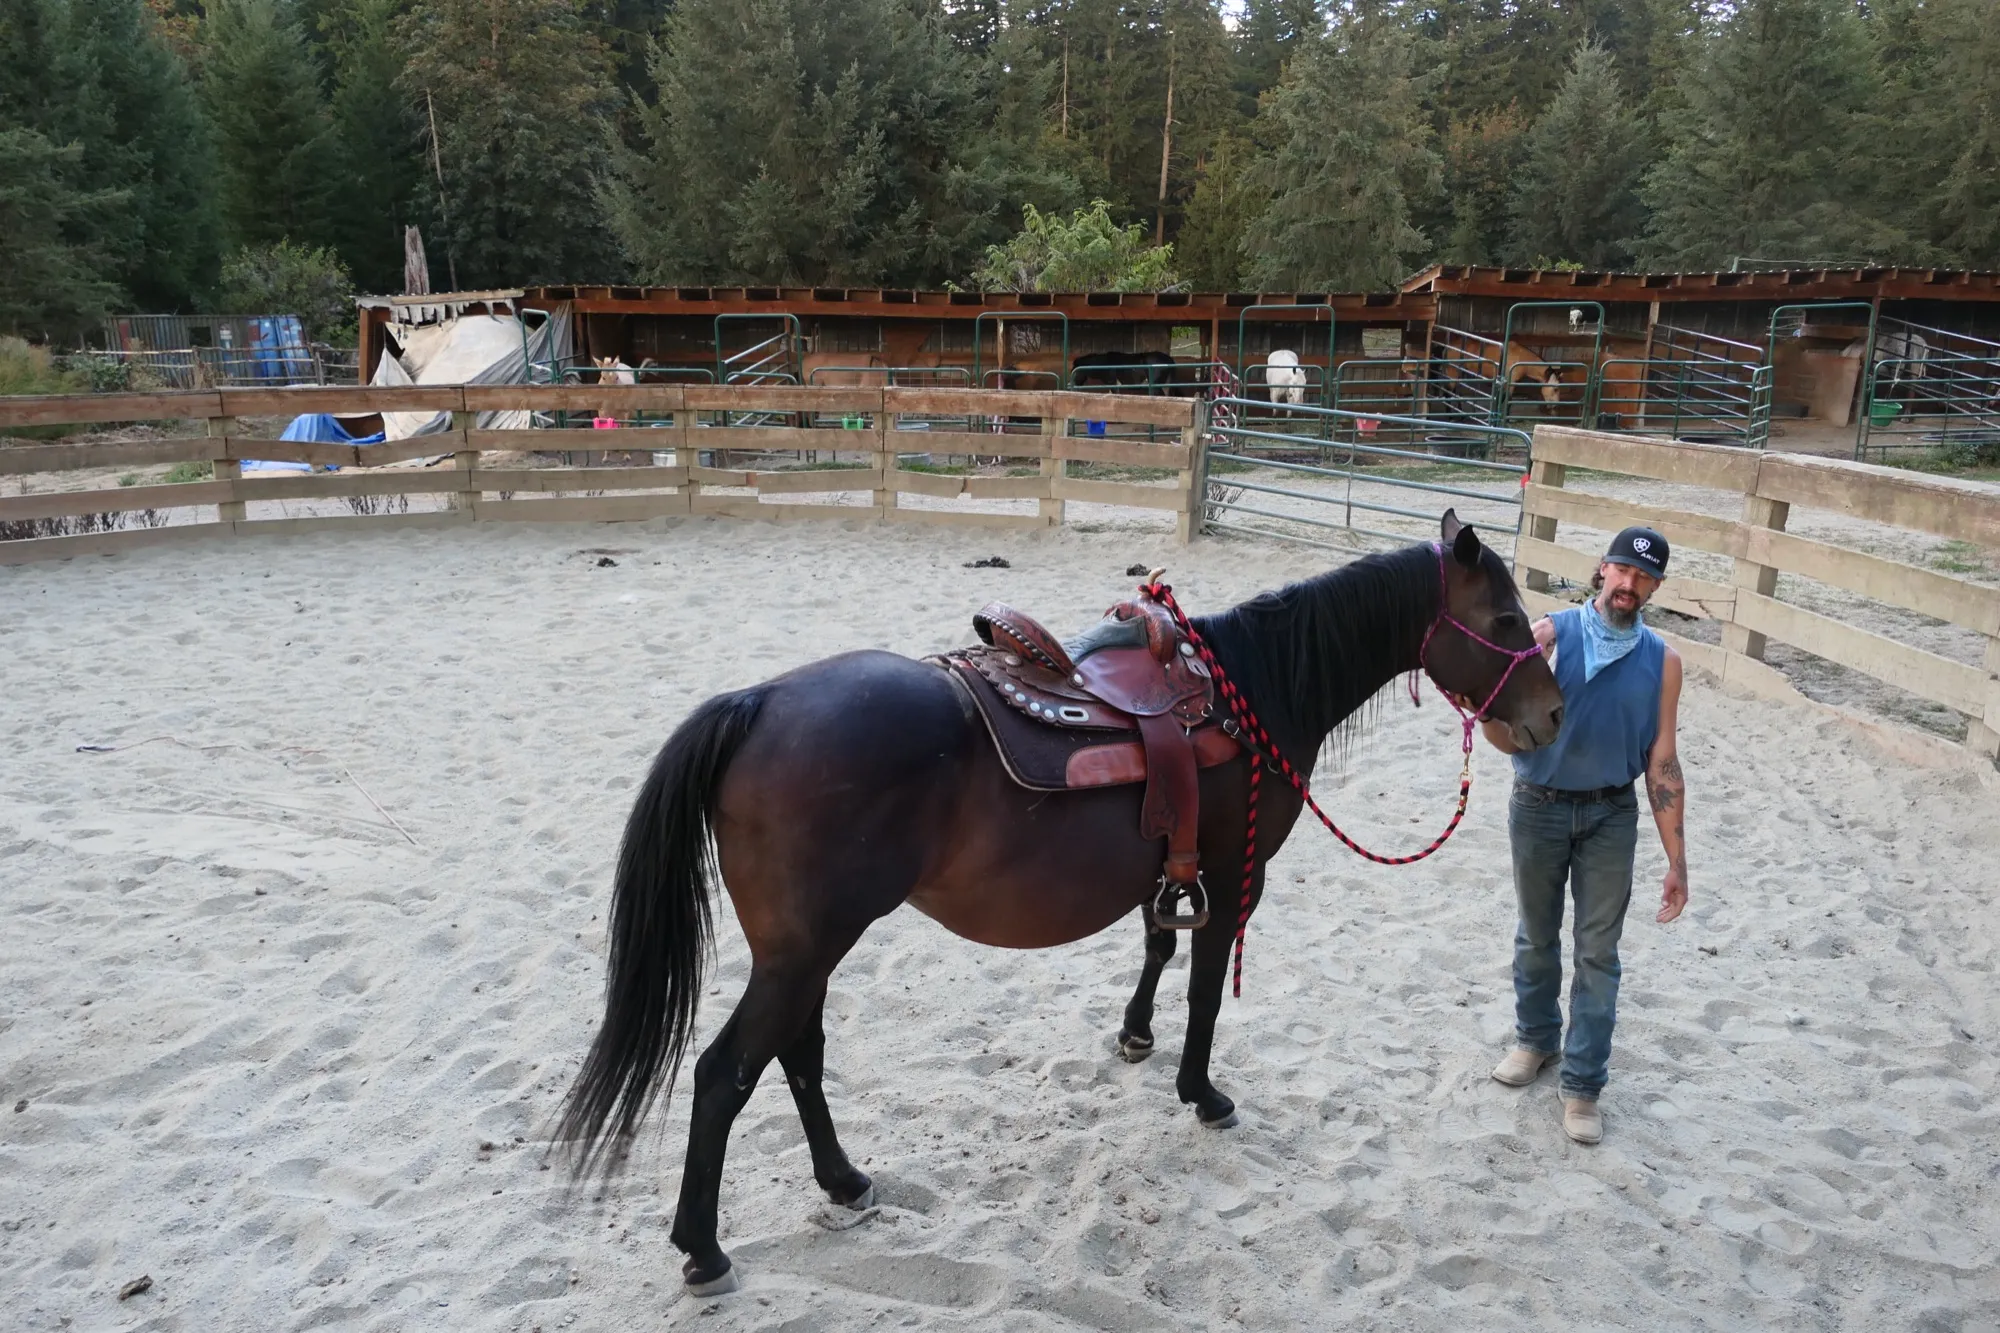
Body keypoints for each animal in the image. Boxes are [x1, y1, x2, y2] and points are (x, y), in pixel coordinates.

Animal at [555, 513, 1565, 1295]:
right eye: (1508, 617)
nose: (1552, 715)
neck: (1254, 687)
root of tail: (757, 701)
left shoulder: (1177, 870)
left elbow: (1159, 944)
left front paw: (1136, 1035)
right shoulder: (1238, 875)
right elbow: (1204, 988)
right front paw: (1201, 1092)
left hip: (804, 951)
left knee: (798, 1055)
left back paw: (842, 1180)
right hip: (804, 950)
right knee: (725, 1072)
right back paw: (703, 1248)